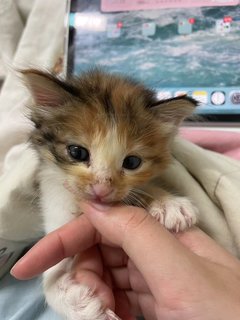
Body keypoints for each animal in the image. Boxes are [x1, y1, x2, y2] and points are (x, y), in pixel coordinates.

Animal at [23, 68, 198, 320]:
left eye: (132, 162)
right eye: (77, 152)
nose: (101, 190)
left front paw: (168, 204)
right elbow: (50, 272)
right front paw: (83, 306)